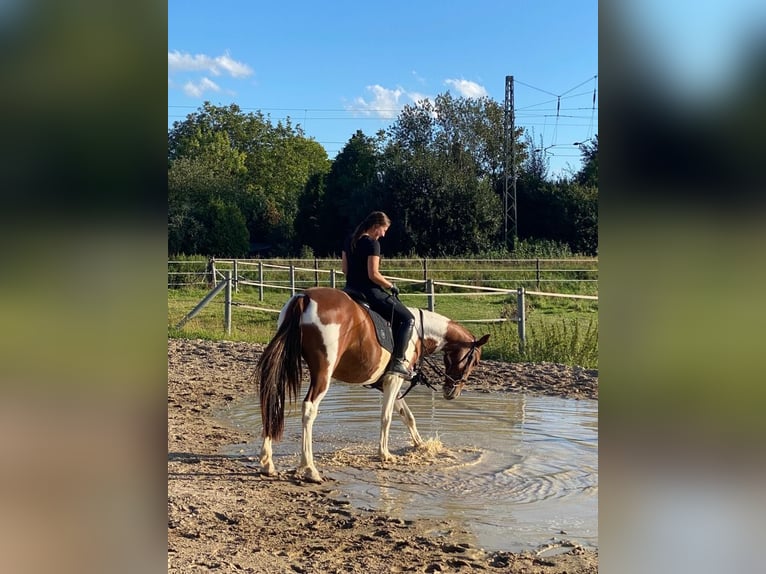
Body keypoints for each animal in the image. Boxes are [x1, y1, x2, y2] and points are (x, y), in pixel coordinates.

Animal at [255, 286, 488, 484]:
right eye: (475, 361)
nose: (452, 392)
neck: (419, 334)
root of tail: (305, 297)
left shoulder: (386, 383)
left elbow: (406, 415)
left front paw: (421, 445)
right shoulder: (394, 379)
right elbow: (387, 417)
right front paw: (384, 453)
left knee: (273, 400)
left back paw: (267, 463)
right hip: (323, 373)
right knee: (309, 409)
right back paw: (309, 468)